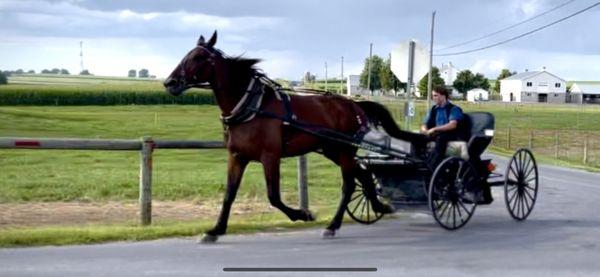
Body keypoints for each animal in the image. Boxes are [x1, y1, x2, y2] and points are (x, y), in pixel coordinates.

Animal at [164, 31, 424, 240]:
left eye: (198, 58)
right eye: (187, 55)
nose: (170, 82)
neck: (252, 107)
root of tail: (354, 104)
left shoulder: (270, 156)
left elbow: (273, 196)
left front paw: (304, 213)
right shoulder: (236, 156)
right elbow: (229, 194)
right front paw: (216, 229)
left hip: (344, 150)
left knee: (349, 184)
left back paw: (333, 225)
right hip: (332, 149)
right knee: (364, 175)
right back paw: (380, 208)